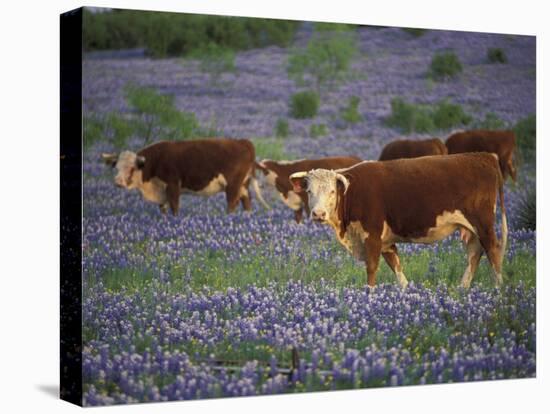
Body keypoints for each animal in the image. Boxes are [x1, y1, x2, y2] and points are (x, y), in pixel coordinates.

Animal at [102, 140, 270, 217]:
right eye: (117, 167)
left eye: (131, 168)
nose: (118, 182)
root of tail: (244, 142)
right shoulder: (161, 191)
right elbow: (163, 209)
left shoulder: (173, 185)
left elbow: (175, 207)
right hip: (243, 185)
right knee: (246, 202)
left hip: (233, 185)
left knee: (232, 204)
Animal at [292, 154, 512, 290]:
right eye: (309, 191)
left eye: (332, 191)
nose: (318, 213)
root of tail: (485, 156)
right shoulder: (386, 242)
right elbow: (397, 269)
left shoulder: (372, 236)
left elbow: (372, 270)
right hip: (470, 229)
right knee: (475, 253)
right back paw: (463, 288)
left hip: (483, 224)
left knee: (493, 251)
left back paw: (498, 289)